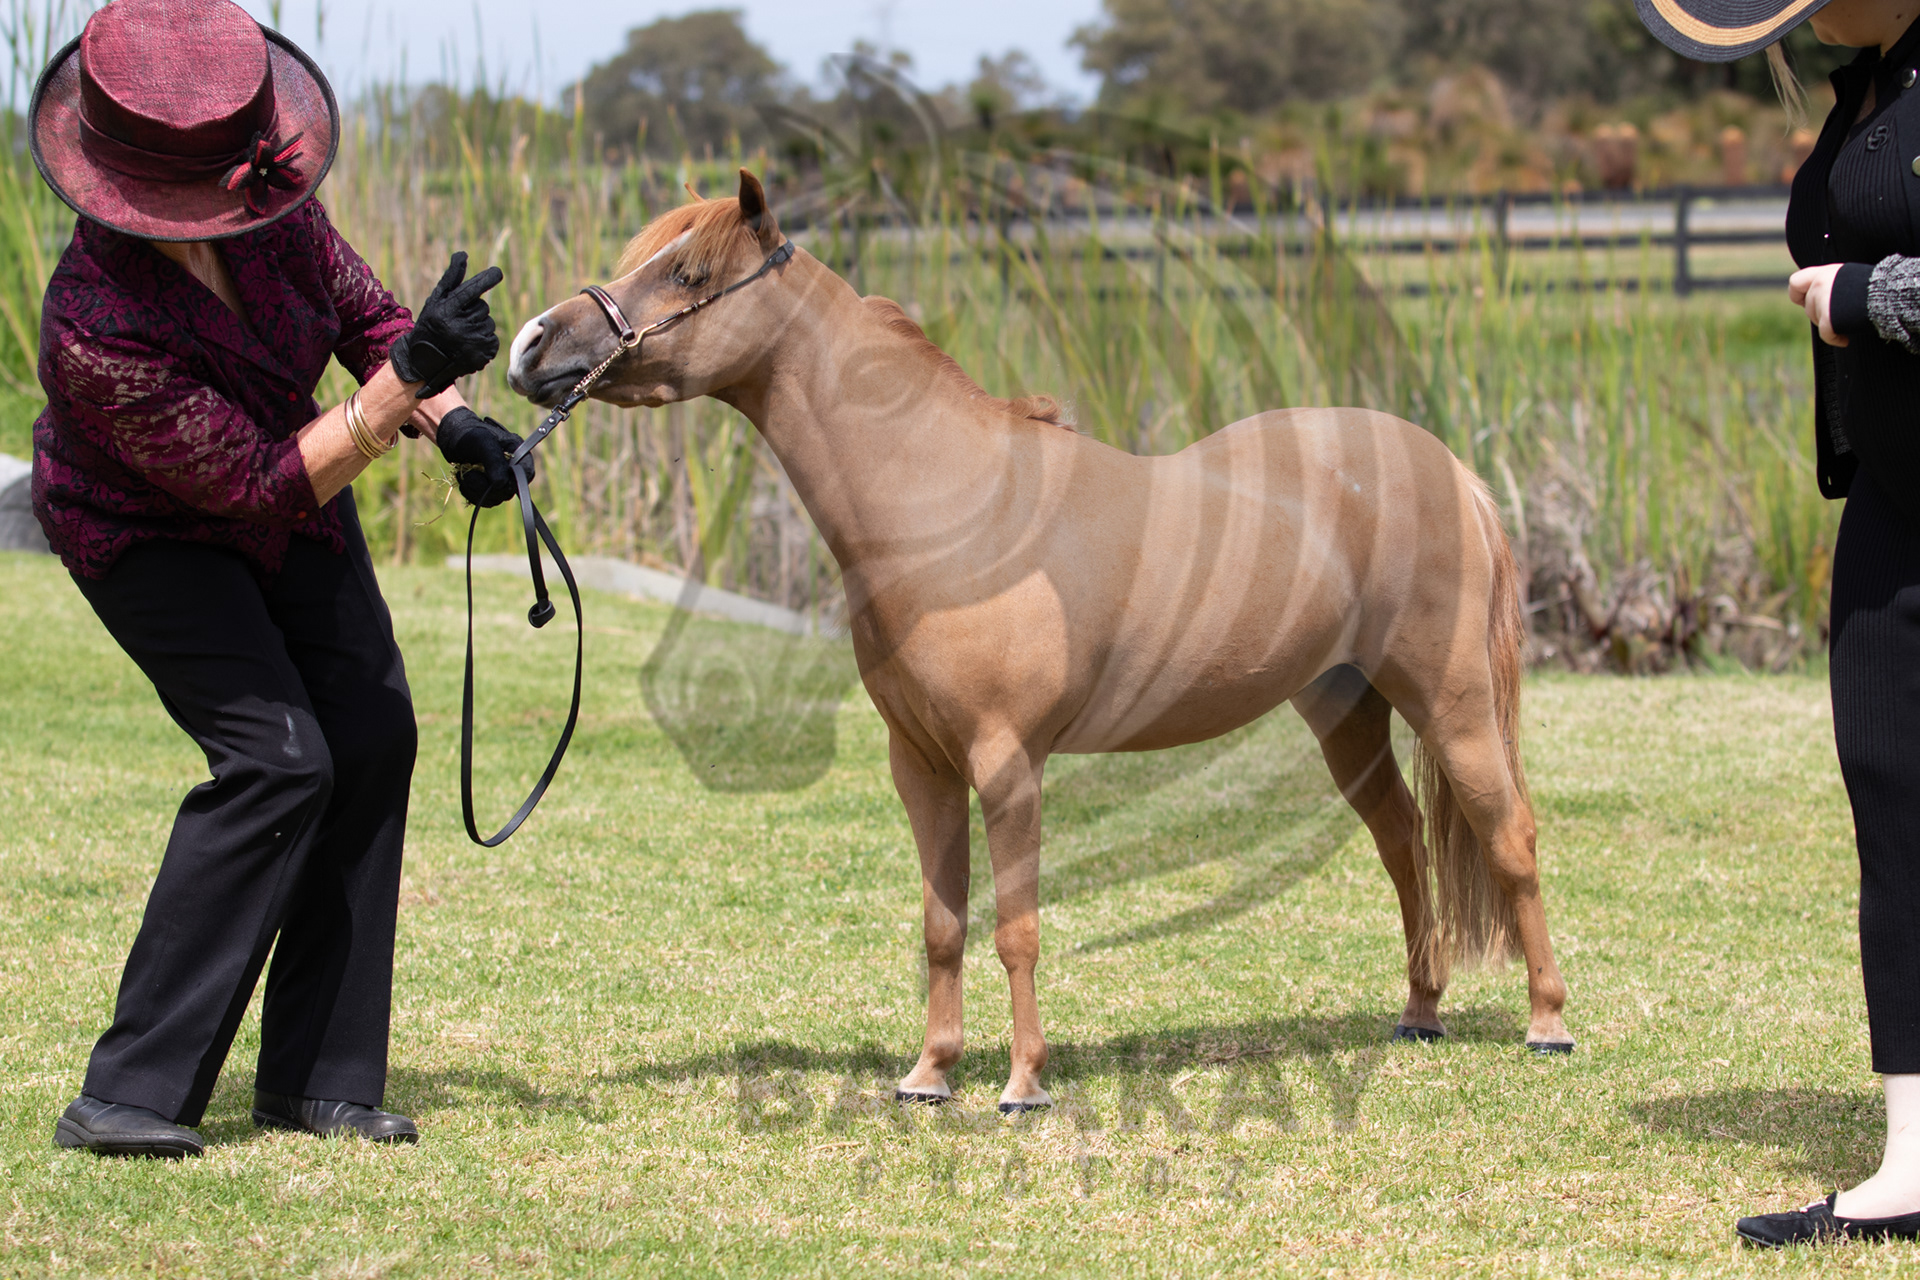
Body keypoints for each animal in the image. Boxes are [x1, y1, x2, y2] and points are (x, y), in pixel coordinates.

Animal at [506, 169, 1574, 1112]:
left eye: (688, 274)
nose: (528, 345)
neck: (945, 502)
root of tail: (1447, 468)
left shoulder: (1008, 762)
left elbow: (1015, 927)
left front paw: (1024, 1085)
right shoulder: (922, 765)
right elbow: (942, 924)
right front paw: (929, 1076)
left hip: (1450, 702)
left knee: (1508, 835)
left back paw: (1548, 1025)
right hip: (1345, 707)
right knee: (1403, 843)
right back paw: (1419, 1014)